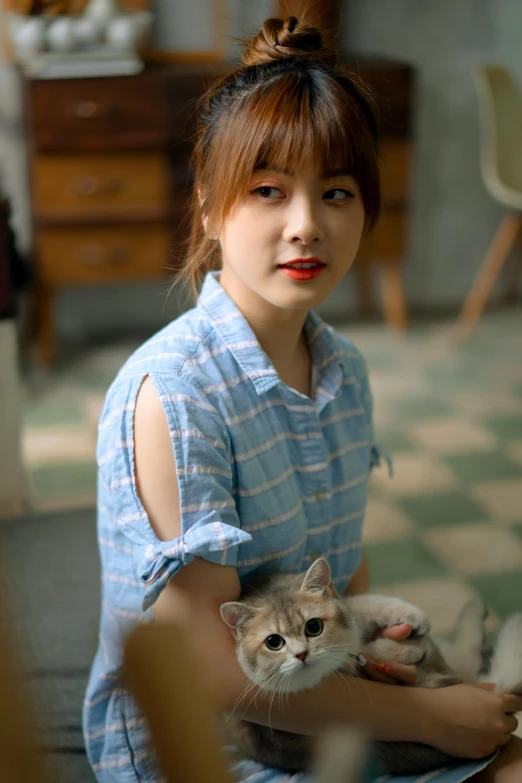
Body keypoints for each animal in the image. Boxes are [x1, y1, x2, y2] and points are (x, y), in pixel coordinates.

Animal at [218, 556, 520, 776]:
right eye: (274, 642)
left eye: (313, 626)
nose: (301, 654)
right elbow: (360, 651)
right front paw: (402, 649)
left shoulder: (346, 605)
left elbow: (362, 603)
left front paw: (410, 615)